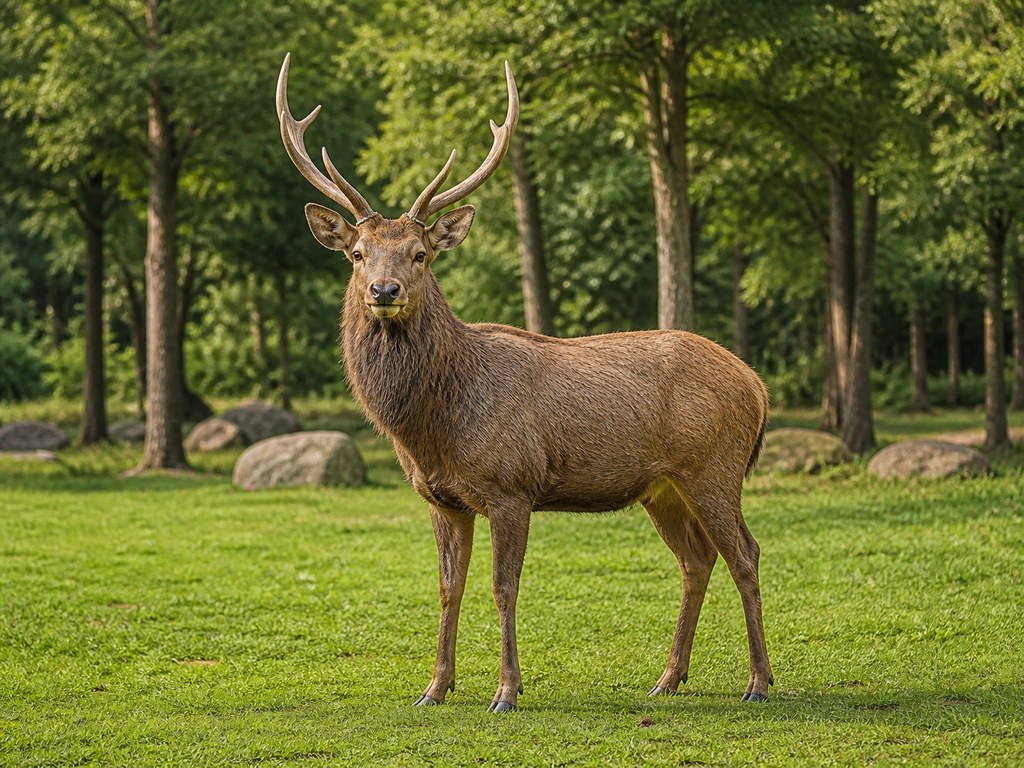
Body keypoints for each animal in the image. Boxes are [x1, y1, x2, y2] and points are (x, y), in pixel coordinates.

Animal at [276, 54, 773, 712]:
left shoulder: (512, 485)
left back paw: (758, 682)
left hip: (714, 467)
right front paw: (434, 687)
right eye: (357, 253)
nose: (384, 291)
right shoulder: (440, 498)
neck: (431, 429)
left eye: (420, 254)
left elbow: (503, 586)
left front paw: (506, 691)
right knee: (697, 559)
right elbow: (448, 588)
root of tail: (757, 385)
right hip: (663, 487)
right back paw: (668, 678)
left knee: (745, 552)